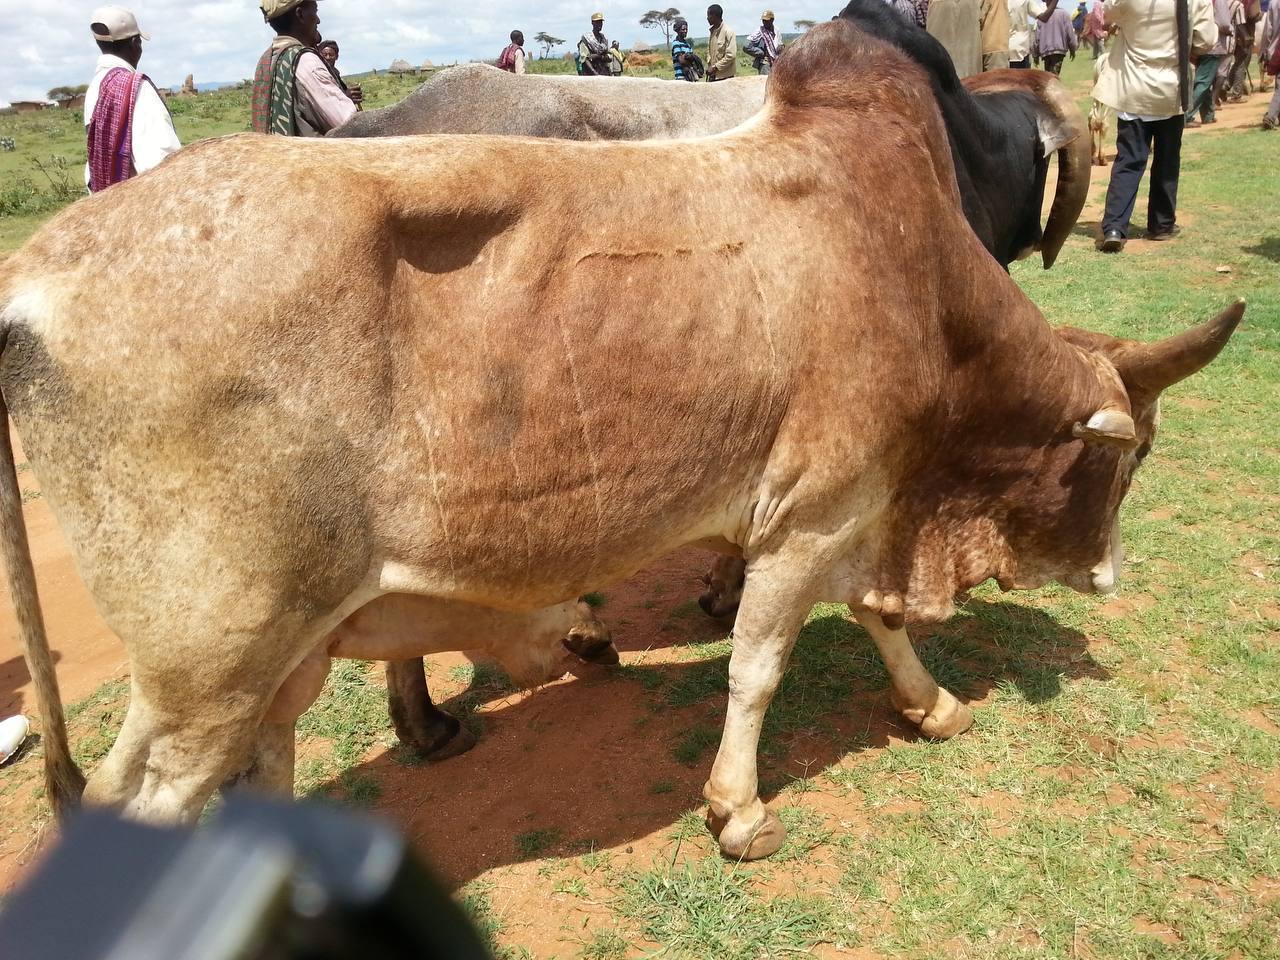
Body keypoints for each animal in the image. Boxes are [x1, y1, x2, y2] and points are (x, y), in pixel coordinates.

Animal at [0, 19, 1240, 862]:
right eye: (1128, 454)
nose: (1110, 575)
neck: (917, 277)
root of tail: (33, 274)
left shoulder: (856, 506)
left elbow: (876, 617)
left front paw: (927, 703)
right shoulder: (814, 508)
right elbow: (757, 661)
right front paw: (737, 809)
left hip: (257, 671)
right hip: (210, 670)